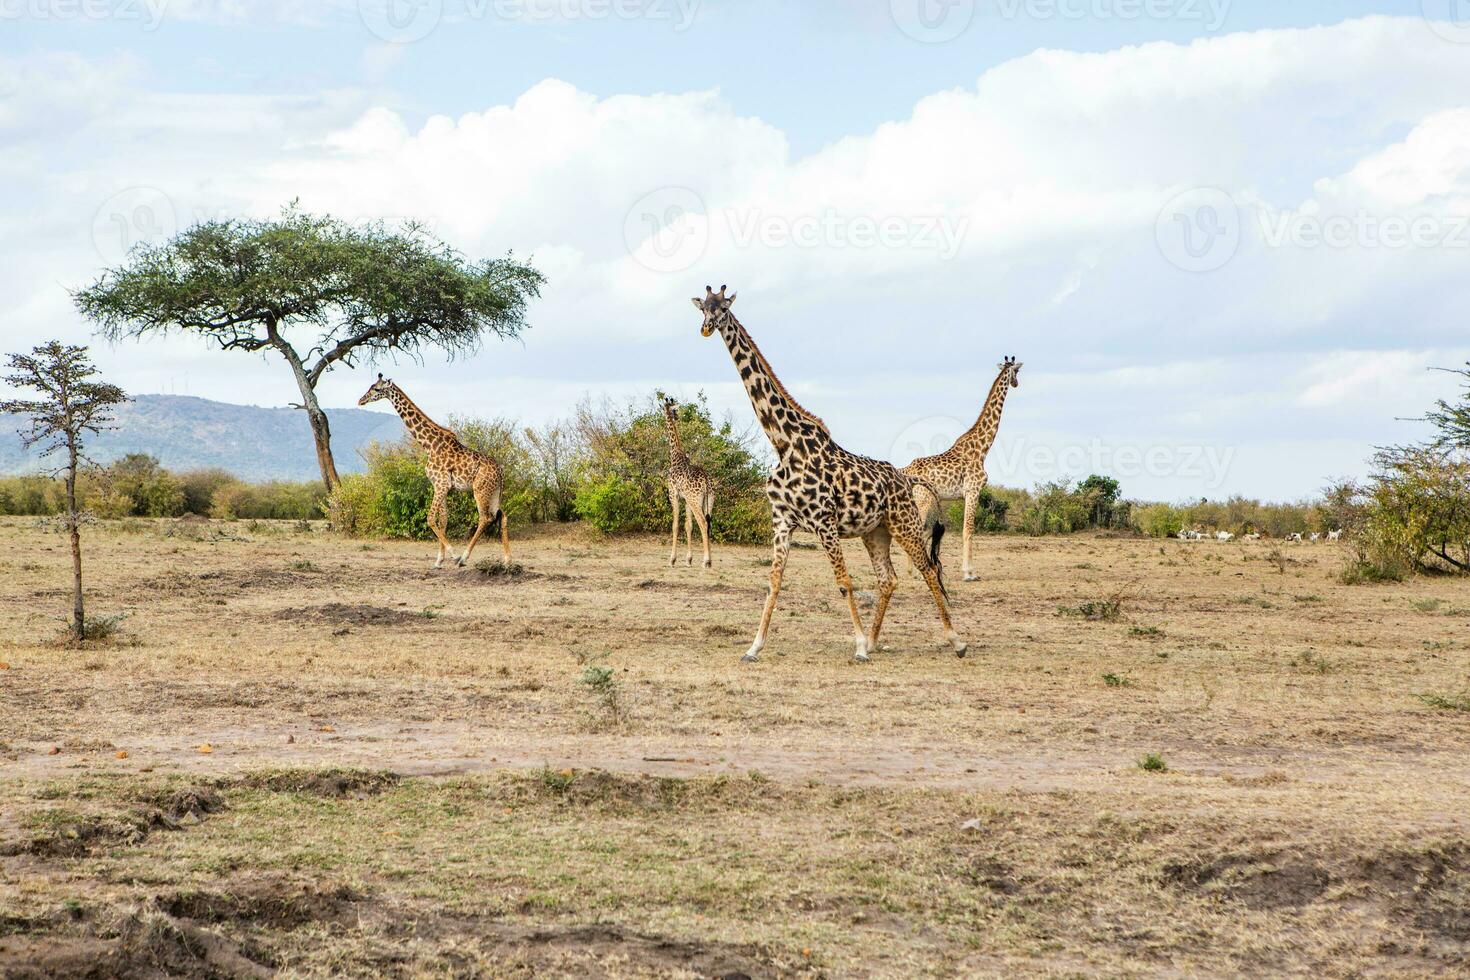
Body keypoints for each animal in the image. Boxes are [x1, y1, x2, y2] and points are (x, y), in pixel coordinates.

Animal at [357, 373, 511, 570]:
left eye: (376, 389)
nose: (361, 400)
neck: (429, 445)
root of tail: (500, 471)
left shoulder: (441, 484)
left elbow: (430, 518)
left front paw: (453, 555)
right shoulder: (443, 486)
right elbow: (443, 519)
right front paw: (439, 561)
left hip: (480, 490)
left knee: (485, 518)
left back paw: (464, 558)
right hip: (494, 491)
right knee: (502, 515)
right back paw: (507, 560)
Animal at [664, 396, 714, 570]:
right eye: (675, 410)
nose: (676, 416)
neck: (675, 456)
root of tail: (705, 480)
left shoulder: (674, 495)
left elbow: (675, 525)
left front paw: (672, 560)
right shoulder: (685, 500)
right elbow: (688, 526)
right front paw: (688, 559)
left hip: (695, 500)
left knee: (703, 523)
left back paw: (706, 561)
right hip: (708, 501)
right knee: (708, 522)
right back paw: (709, 561)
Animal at [693, 285, 970, 667]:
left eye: (722, 308)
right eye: (702, 307)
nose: (706, 328)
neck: (783, 442)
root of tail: (907, 479)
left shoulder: (824, 522)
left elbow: (844, 582)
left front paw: (858, 646)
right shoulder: (782, 521)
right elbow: (774, 582)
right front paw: (753, 647)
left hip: (905, 524)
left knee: (927, 570)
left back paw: (955, 641)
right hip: (875, 532)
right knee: (888, 579)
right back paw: (876, 641)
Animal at [893, 357, 1023, 578]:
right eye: (1017, 372)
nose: (1016, 383)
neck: (982, 449)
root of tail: (904, 470)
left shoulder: (965, 494)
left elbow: (965, 530)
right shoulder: (973, 490)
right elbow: (968, 531)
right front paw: (969, 573)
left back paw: (913, 571)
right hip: (923, 500)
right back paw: (915, 572)